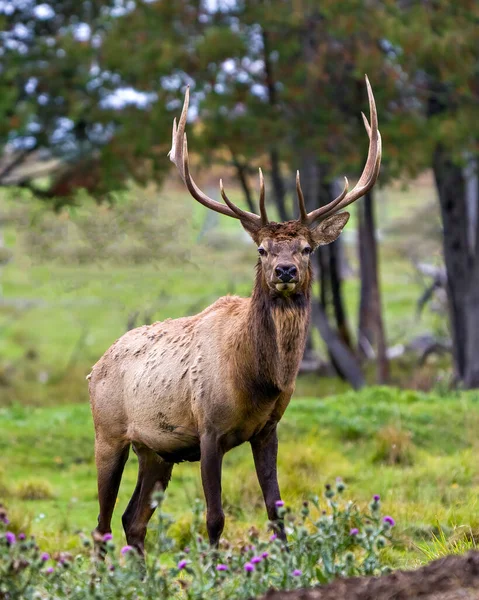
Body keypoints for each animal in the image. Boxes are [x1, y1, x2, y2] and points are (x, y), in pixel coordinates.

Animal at [89, 76, 382, 556]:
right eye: (262, 249)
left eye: (307, 248)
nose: (285, 271)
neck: (258, 380)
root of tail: (94, 367)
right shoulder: (208, 429)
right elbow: (215, 517)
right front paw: (214, 568)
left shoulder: (268, 429)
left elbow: (276, 511)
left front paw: (287, 563)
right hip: (108, 434)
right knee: (101, 524)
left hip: (156, 451)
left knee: (133, 520)